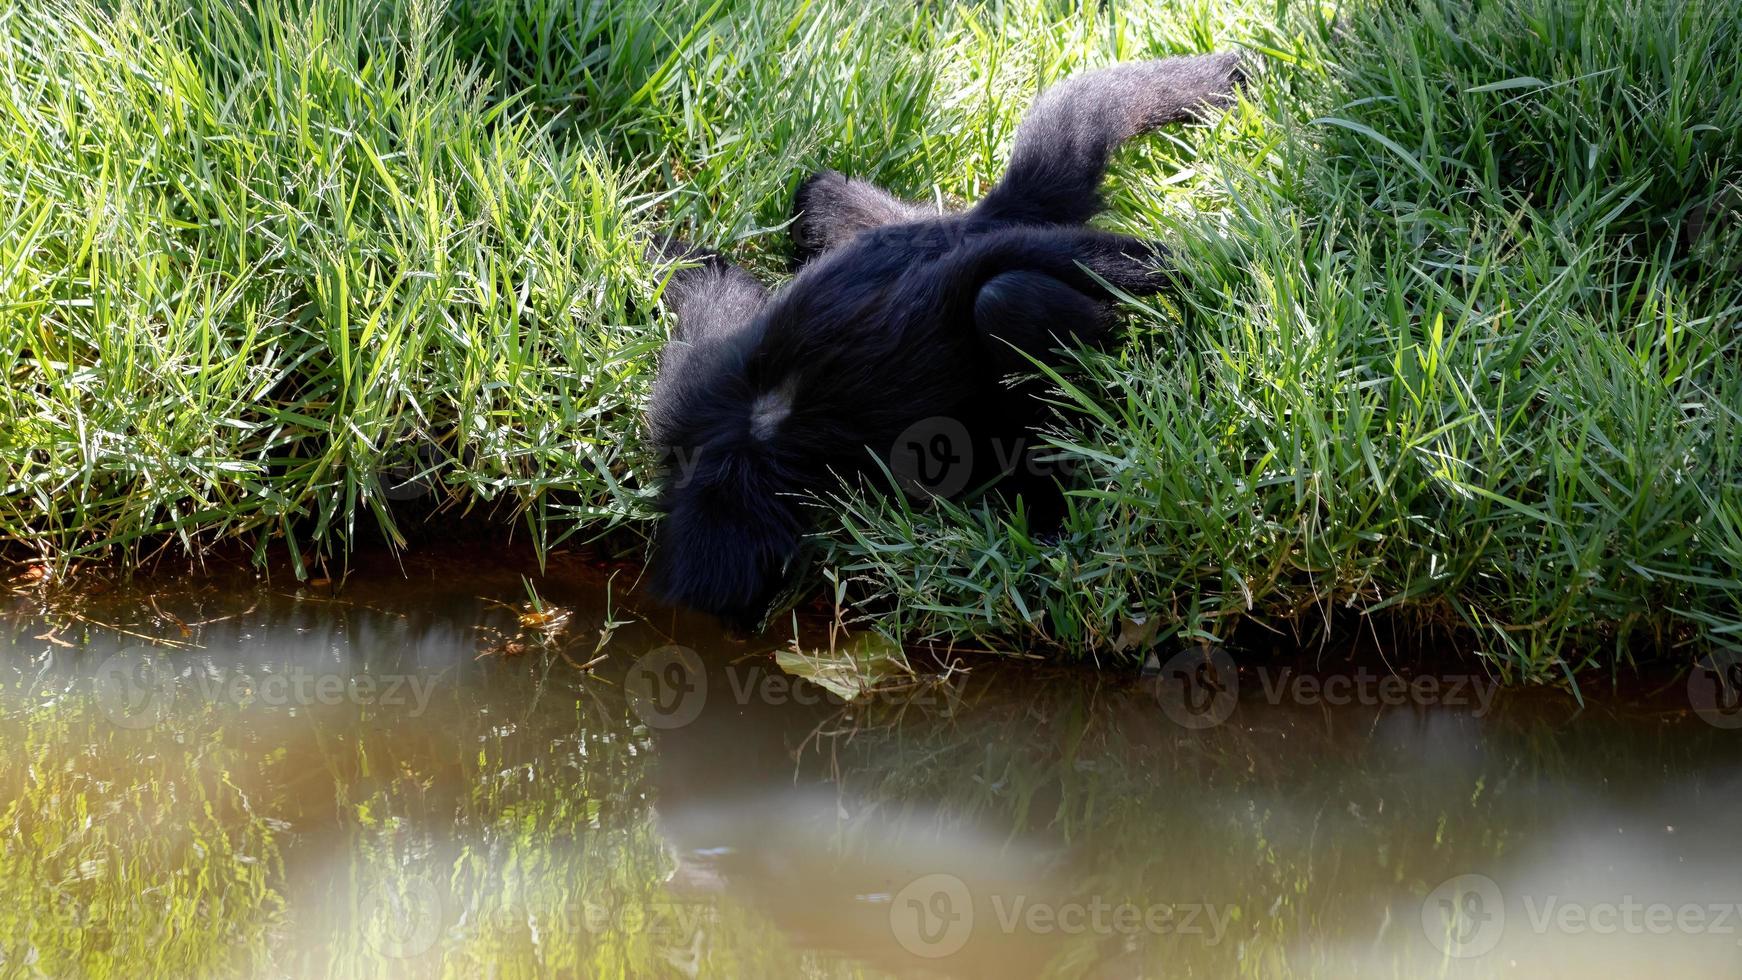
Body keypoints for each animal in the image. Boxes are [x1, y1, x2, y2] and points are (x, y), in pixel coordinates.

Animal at [648, 49, 1247, 630]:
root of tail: (976, 217)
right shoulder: (691, 390)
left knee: (1002, 296)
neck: (751, 428)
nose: (754, 620)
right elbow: (713, 284)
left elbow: (994, 269)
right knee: (816, 195)